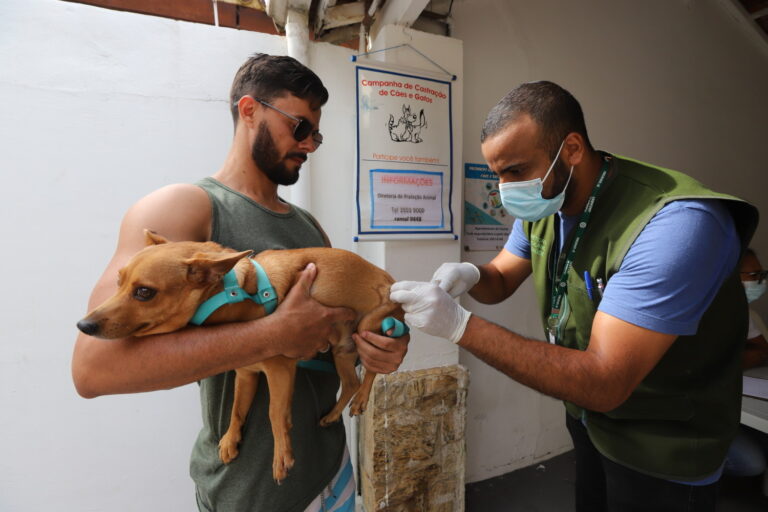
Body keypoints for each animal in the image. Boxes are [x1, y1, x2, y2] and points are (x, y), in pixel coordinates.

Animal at [75, 230, 404, 482]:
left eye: (144, 292)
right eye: (118, 282)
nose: (83, 325)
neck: (232, 293)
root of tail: (390, 279)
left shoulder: (280, 370)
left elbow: (275, 413)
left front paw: (282, 456)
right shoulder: (246, 373)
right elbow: (237, 409)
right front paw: (231, 440)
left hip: (369, 326)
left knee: (372, 371)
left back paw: (361, 400)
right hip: (342, 350)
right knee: (350, 382)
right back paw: (335, 413)